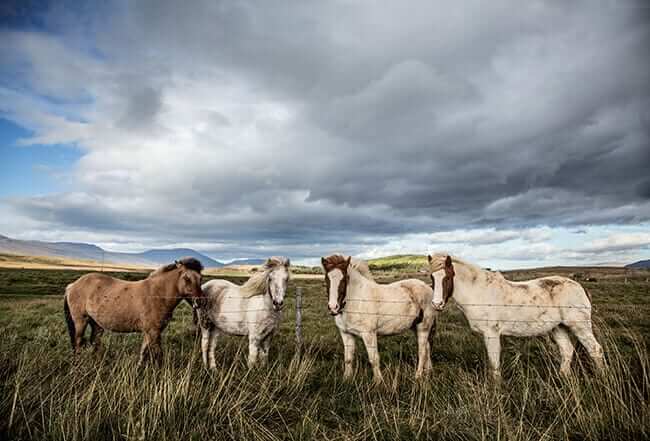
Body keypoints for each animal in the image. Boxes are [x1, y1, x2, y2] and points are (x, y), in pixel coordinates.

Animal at [63, 257, 204, 365]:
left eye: (201, 278)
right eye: (187, 278)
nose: (200, 302)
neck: (157, 294)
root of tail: (72, 285)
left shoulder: (149, 332)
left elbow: (143, 352)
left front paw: (139, 368)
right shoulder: (154, 332)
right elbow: (159, 355)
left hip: (96, 324)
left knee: (95, 342)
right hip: (81, 321)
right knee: (78, 342)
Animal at [426, 253, 604, 378]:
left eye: (448, 277)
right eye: (432, 278)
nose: (436, 304)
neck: (479, 292)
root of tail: (579, 287)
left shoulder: (491, 334)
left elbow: (494, 363)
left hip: (579, 326)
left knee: (595, 350)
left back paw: (601, 378)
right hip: (558, 327)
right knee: (567, 351)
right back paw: (562, 378)